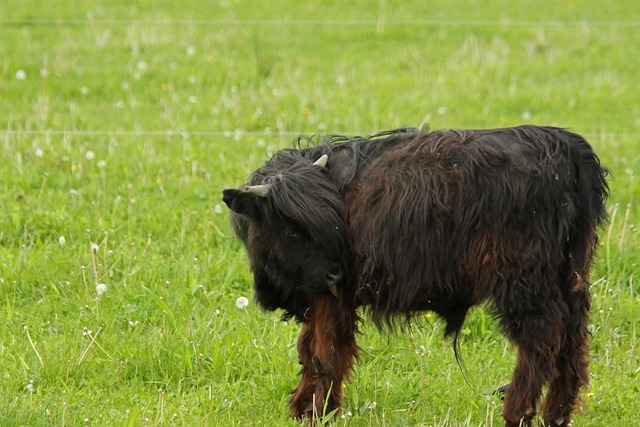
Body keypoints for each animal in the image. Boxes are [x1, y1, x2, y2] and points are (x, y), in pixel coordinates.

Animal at [222, 125, 608, 427]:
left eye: (319, 224)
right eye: (291, 230)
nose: (335, 273)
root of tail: (563, 144)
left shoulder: (330, 298)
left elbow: (324, 354)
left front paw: (319, 412)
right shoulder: (319, 296)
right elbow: (309, 350)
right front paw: (302, 408)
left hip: (524, 282)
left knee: (540, 339)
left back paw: (517, 413)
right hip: (571, 276)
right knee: (573, 340)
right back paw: (557, 414)